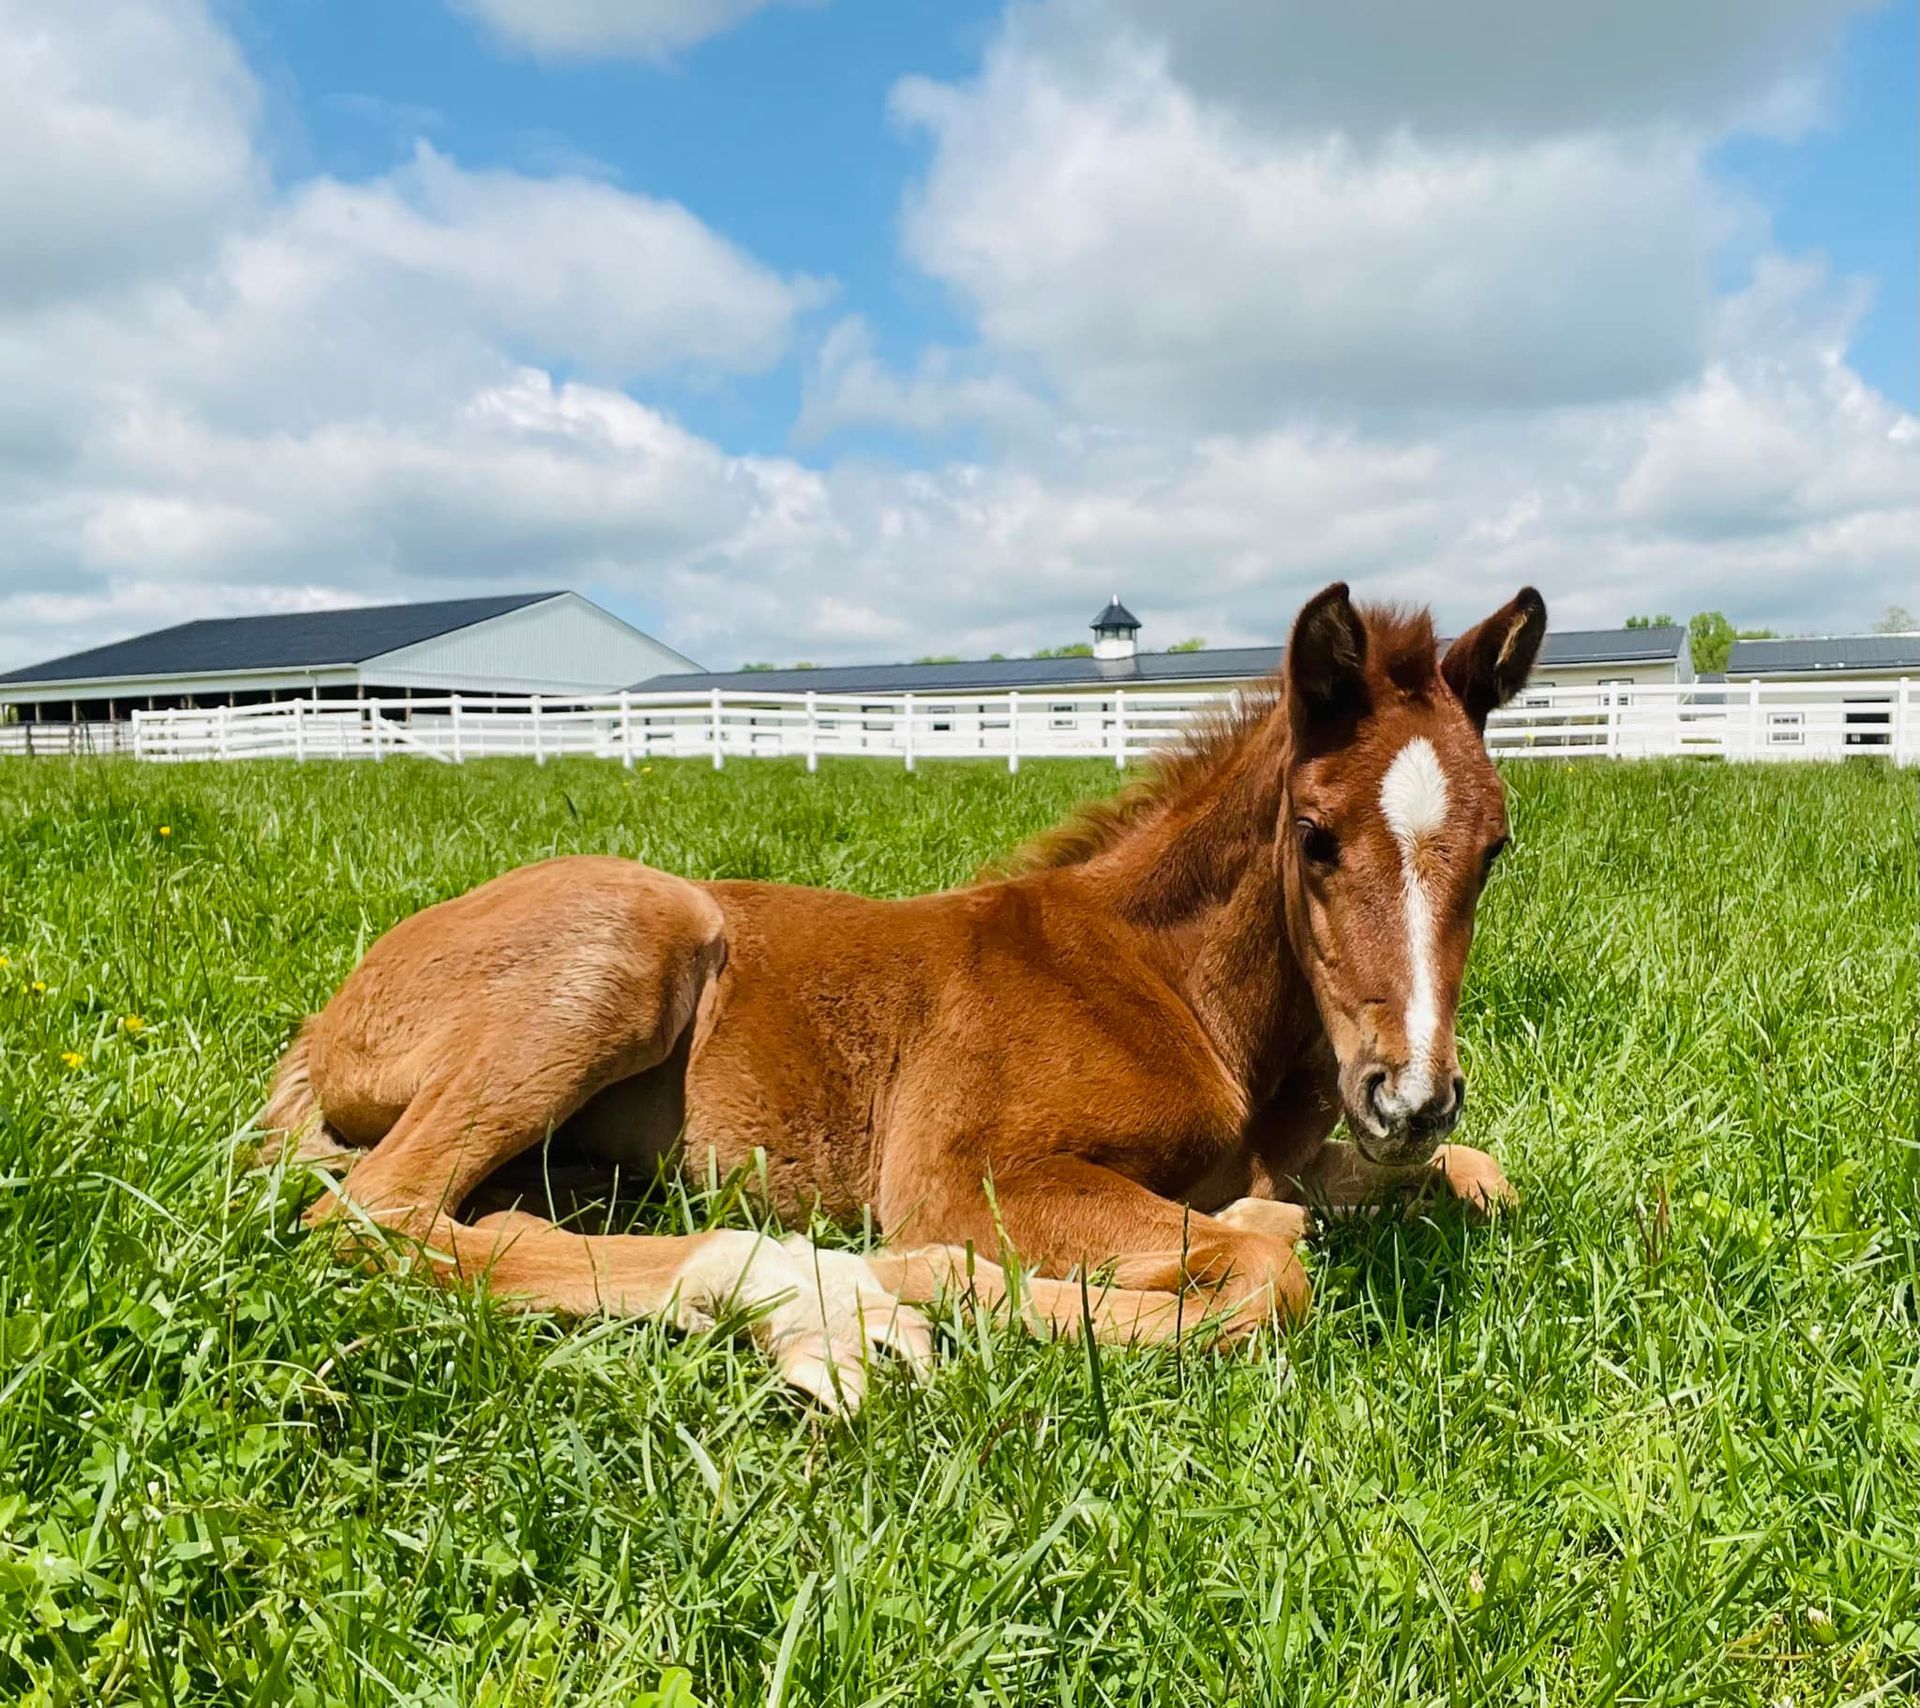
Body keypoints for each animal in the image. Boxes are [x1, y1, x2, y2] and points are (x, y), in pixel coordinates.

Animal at [263, 581, 1546, 1414]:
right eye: (1318, 835)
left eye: (1496, 849)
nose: (1410, 1096)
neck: (1165, 984)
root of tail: (329, 1020)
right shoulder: (961, 1172)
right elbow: (1265, 1276)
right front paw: (936, 1281)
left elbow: (1481, 1182)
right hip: (627, 951)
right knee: (377, 1215)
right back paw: (814, 1295)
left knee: (495, 1217)